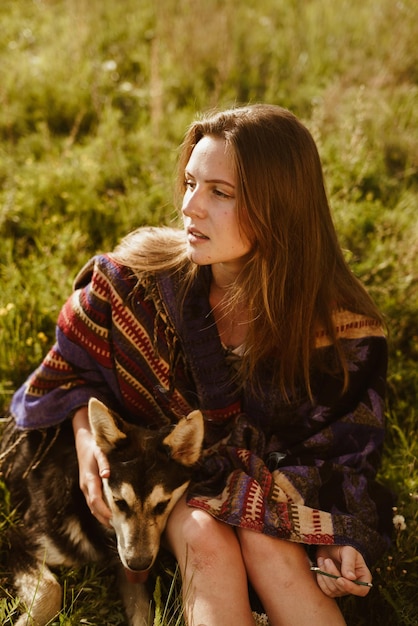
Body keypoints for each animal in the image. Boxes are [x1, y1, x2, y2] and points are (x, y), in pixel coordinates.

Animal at [0, 398, 203, 624]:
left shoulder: (128, 571)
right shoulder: (17, 539)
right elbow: (51, 589)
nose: (138, 564)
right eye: (119, 502)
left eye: (162, 505)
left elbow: (144, 613)